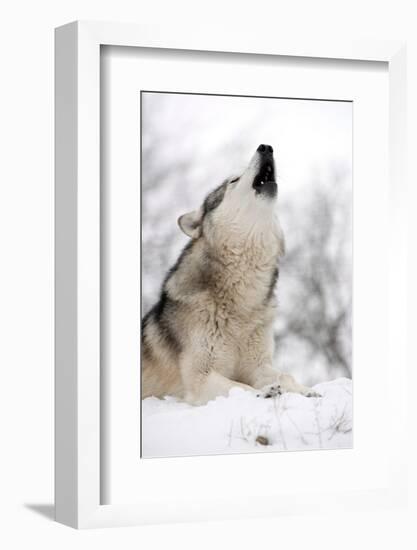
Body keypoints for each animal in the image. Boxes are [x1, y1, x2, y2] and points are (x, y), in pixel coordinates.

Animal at [141, 144, 320, 408]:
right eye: (233, 180)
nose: (265, 147)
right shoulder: (201, 377)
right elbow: (238, 386)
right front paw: (264, 392)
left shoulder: (258, 365)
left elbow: (285, 376)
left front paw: (306, 391)